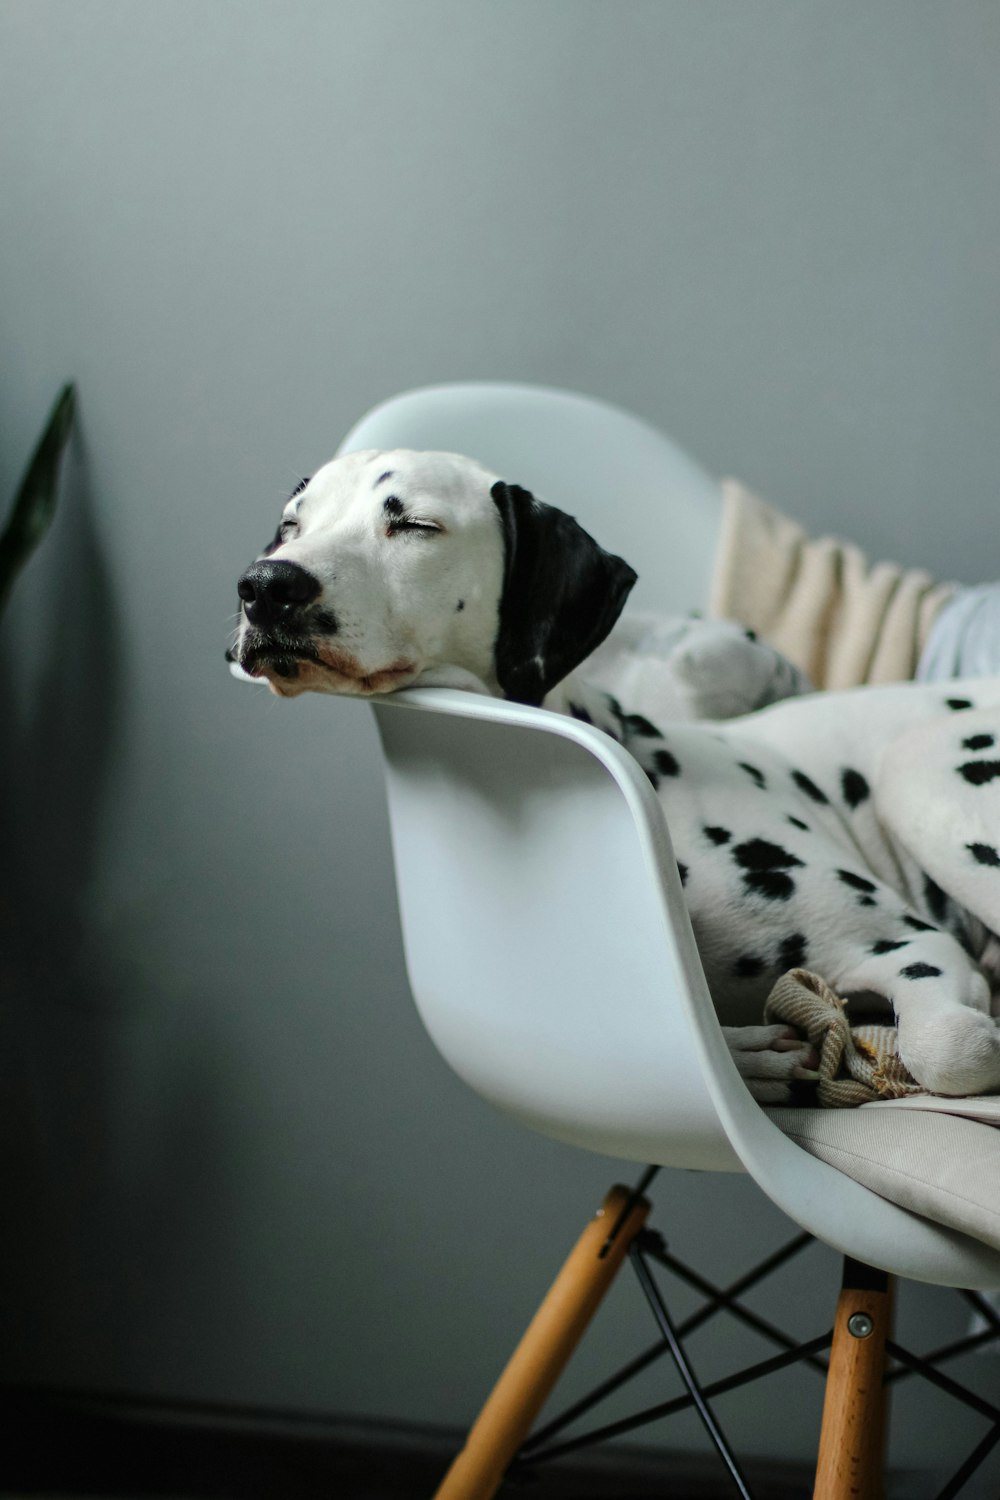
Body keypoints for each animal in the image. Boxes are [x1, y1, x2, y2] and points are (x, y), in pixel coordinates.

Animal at [235, 444, 1000, 1104]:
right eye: (291, 525)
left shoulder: (911, 943)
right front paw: (752, 1056)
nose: (265, 586)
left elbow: (951, 1048)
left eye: (415, 524)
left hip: (918, 776)